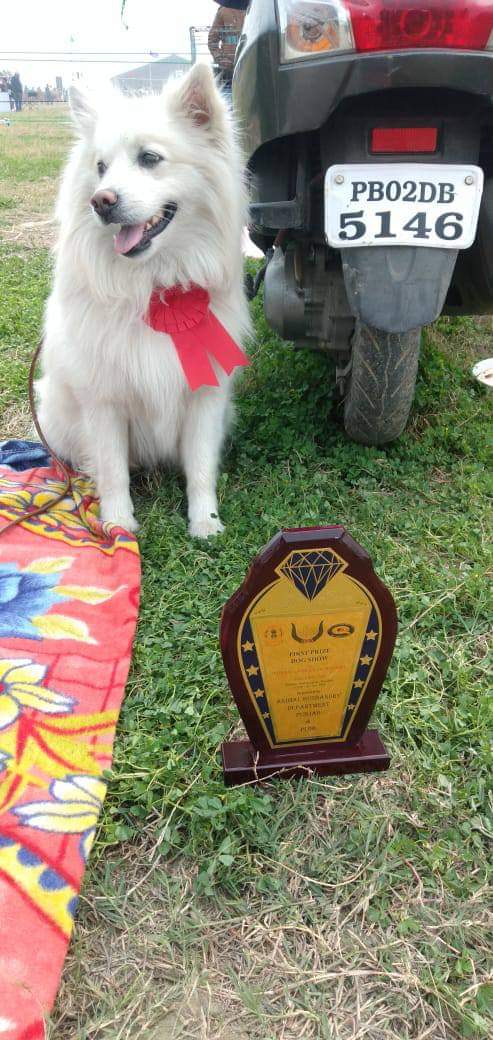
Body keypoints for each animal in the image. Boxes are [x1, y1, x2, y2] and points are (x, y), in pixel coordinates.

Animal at [37, 64, 251, 537]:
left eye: (149, 159)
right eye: (100, 167)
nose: (101, 201)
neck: (156, 288)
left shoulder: (205, 397)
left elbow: (201, 468)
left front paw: (205, 523)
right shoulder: (104, 401)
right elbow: (113, 468)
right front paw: (117, 525)